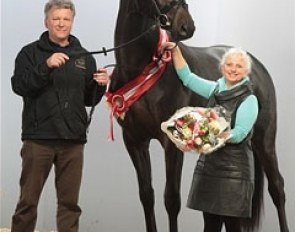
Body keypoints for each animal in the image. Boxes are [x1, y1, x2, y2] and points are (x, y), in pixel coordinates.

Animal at [105, 0, 290, 232]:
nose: (188, 27)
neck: (141, 69)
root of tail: (257, 66)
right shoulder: (134, 141)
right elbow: (147, 195)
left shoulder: (171, 143)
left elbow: (171, 200)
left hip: (264, 140)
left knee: (277, 188)